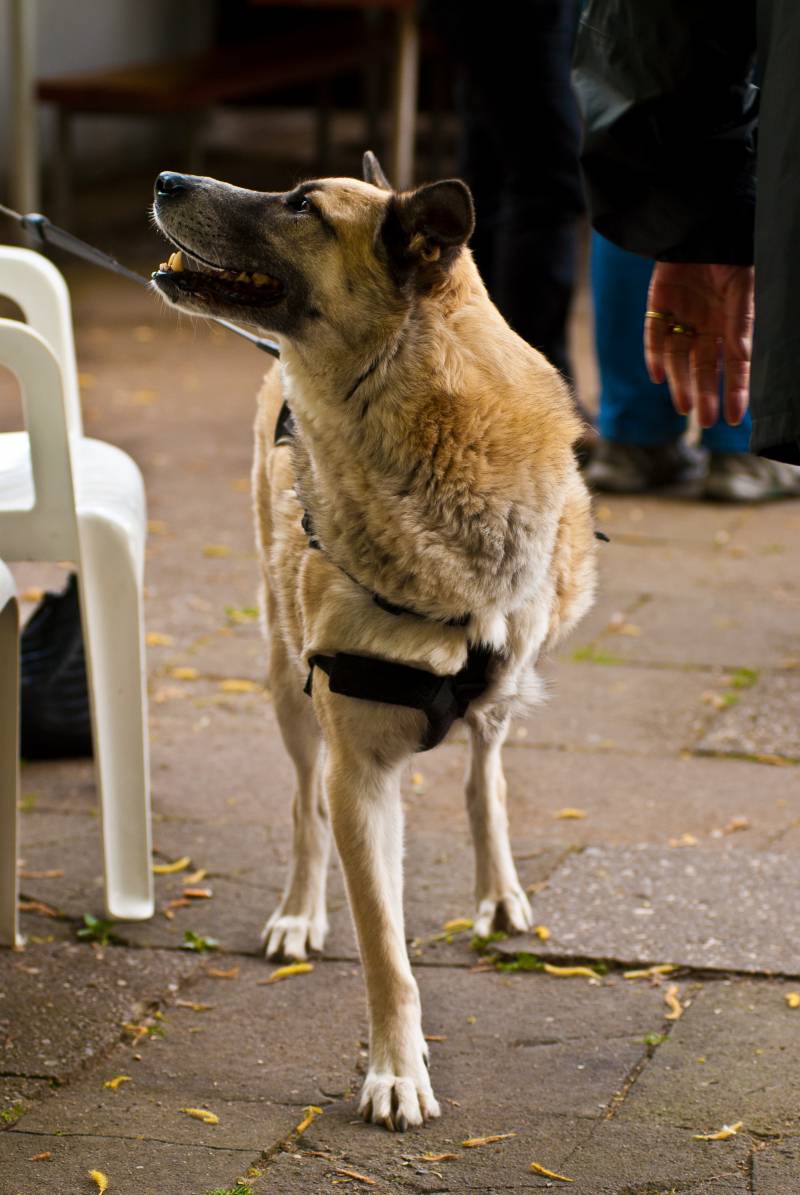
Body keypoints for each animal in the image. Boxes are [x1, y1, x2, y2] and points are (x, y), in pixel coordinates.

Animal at [153, 154, 595, 1132]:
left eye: (301, 206)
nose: (163, 178)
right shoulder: (358, 773)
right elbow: (386, 948)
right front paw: (396, 1070)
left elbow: (477, 793)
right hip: (285, 679)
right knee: (303, 804)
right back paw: (297, 910)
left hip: (495, 704)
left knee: (483, 777)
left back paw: (498, 890)